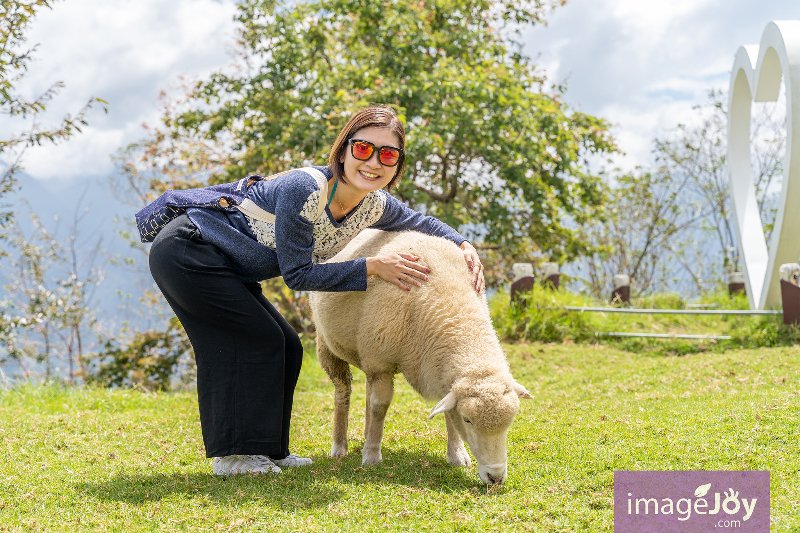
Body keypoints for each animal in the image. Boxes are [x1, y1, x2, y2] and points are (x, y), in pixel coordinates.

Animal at [310, 227, 532, 484]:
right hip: (327, 343)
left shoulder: (433, 369)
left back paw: (365, 434)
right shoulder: (381, 361)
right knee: (343, 392)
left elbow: (445, 412)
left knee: (366, 390)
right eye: (468, 419)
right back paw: (339, 446)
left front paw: (457, 455)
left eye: (510, 422)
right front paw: (372, 455)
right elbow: (380, 406)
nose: (495, 477)